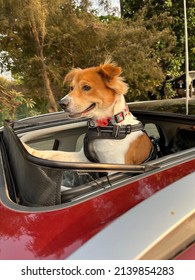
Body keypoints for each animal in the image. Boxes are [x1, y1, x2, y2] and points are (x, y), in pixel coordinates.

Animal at [23, 61, 154, 165]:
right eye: (71, 88)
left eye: (86, 87)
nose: (61, 103)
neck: (107, 126)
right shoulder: (83, 158)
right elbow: (54, 154)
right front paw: (28, 150)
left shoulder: (116, 166)